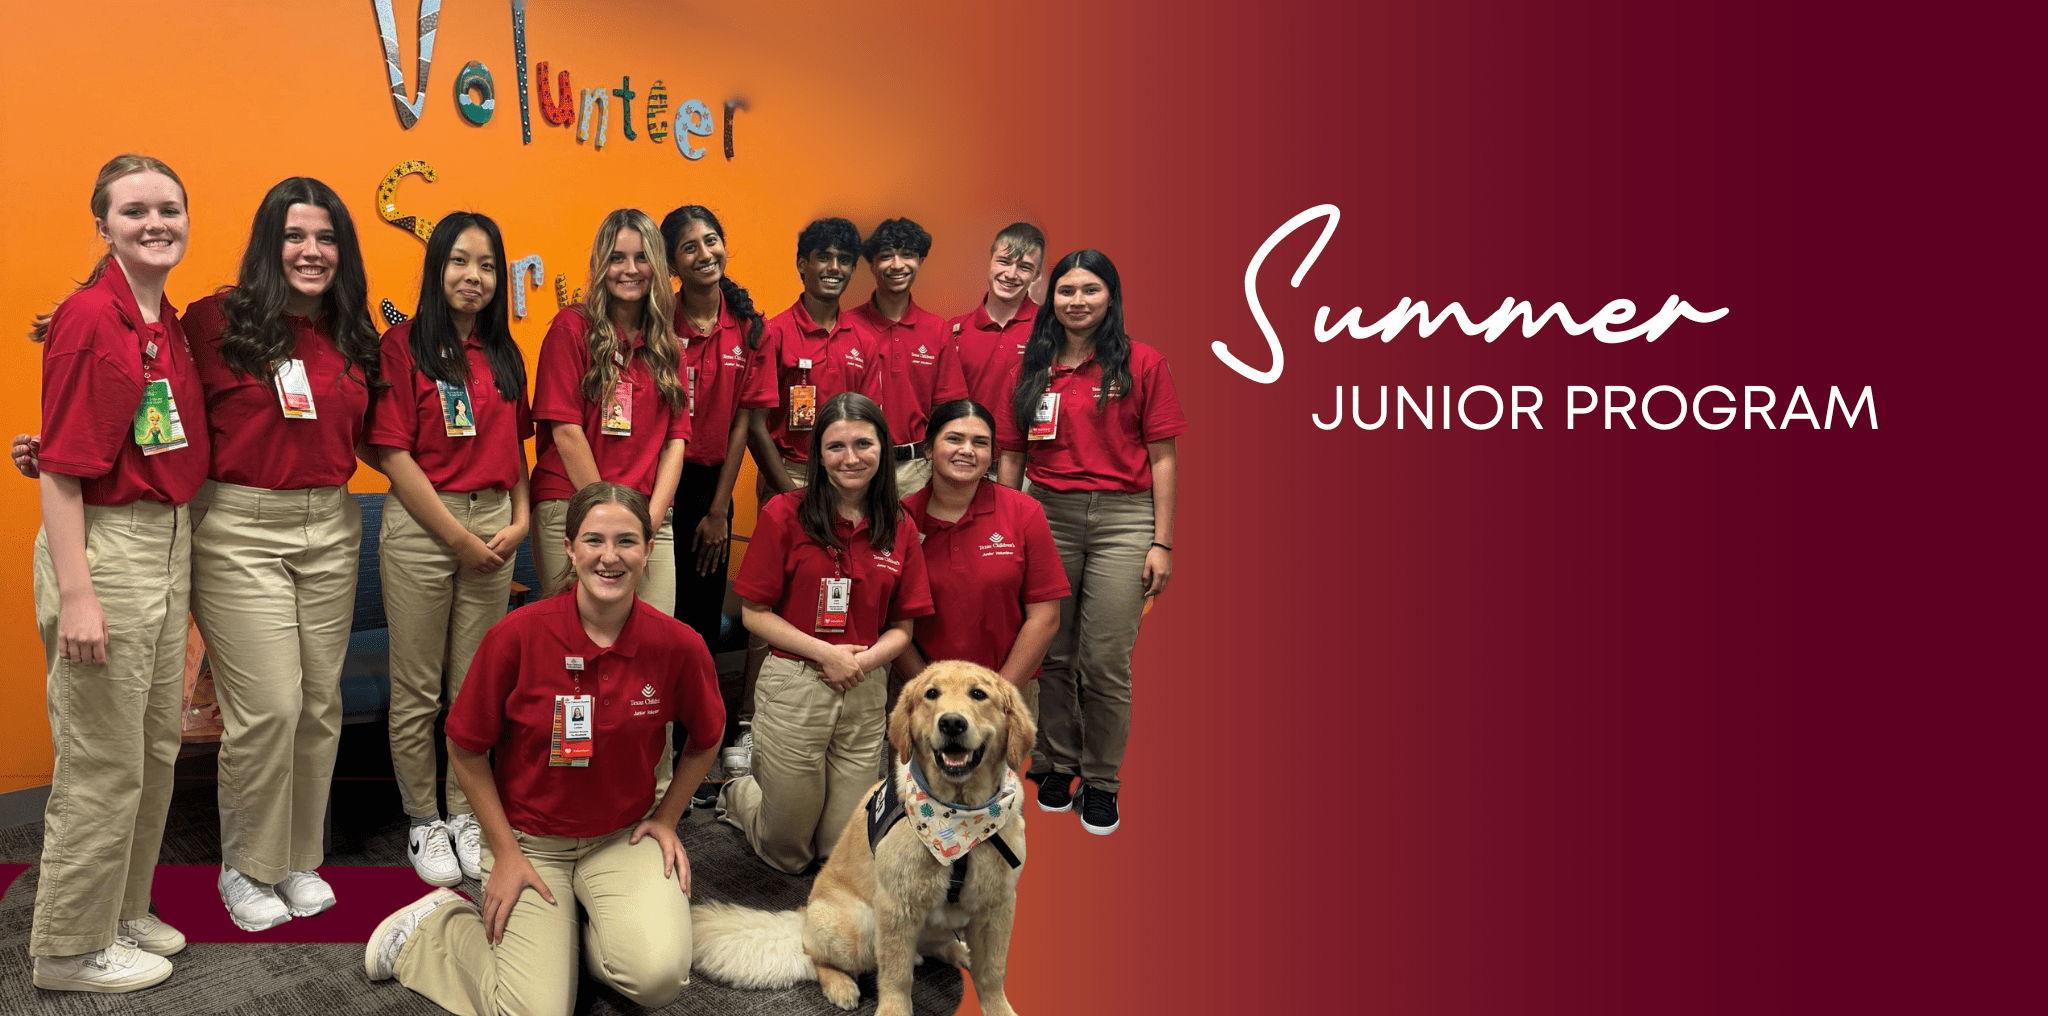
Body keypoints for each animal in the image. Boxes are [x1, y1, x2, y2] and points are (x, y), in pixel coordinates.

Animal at [692, 659, 1040, 1016]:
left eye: (978, 694)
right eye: (931, 694)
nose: (952, 723)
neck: (958, 819)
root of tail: (805, 912)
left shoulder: (998, 905)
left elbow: (993, 972)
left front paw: (998, 1006)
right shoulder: (896, 905)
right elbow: (896, 976)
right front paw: (893, 1010)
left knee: (935, 945)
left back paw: (959, 951)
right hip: (861, 924)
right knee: (816, 955)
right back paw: (841, 985)